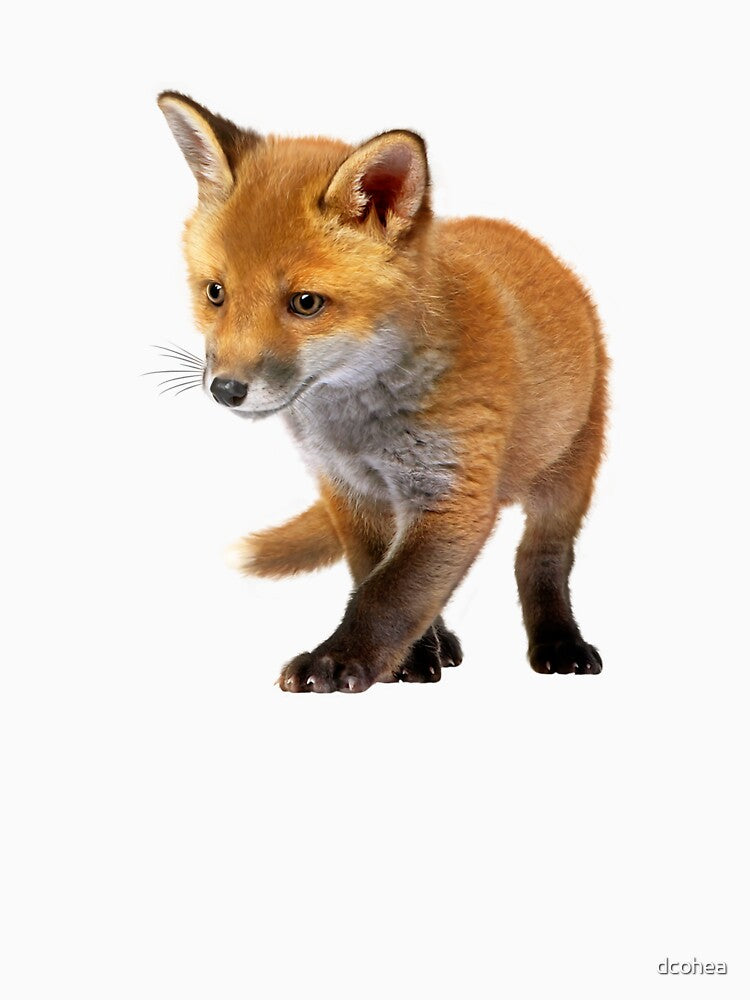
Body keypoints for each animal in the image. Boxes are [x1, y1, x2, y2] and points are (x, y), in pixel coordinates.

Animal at [157, 91, 609, 693]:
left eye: (305, 303)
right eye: (215, 293)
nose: (226, 389)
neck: (359, 426)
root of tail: (531, 242)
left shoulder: (456, 491)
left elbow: (390, 595)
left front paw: (337, 661)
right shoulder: (349, 489)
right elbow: (376, 575)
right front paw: (413, 658)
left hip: (569, 472)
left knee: (540, 560)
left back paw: (559, 642)